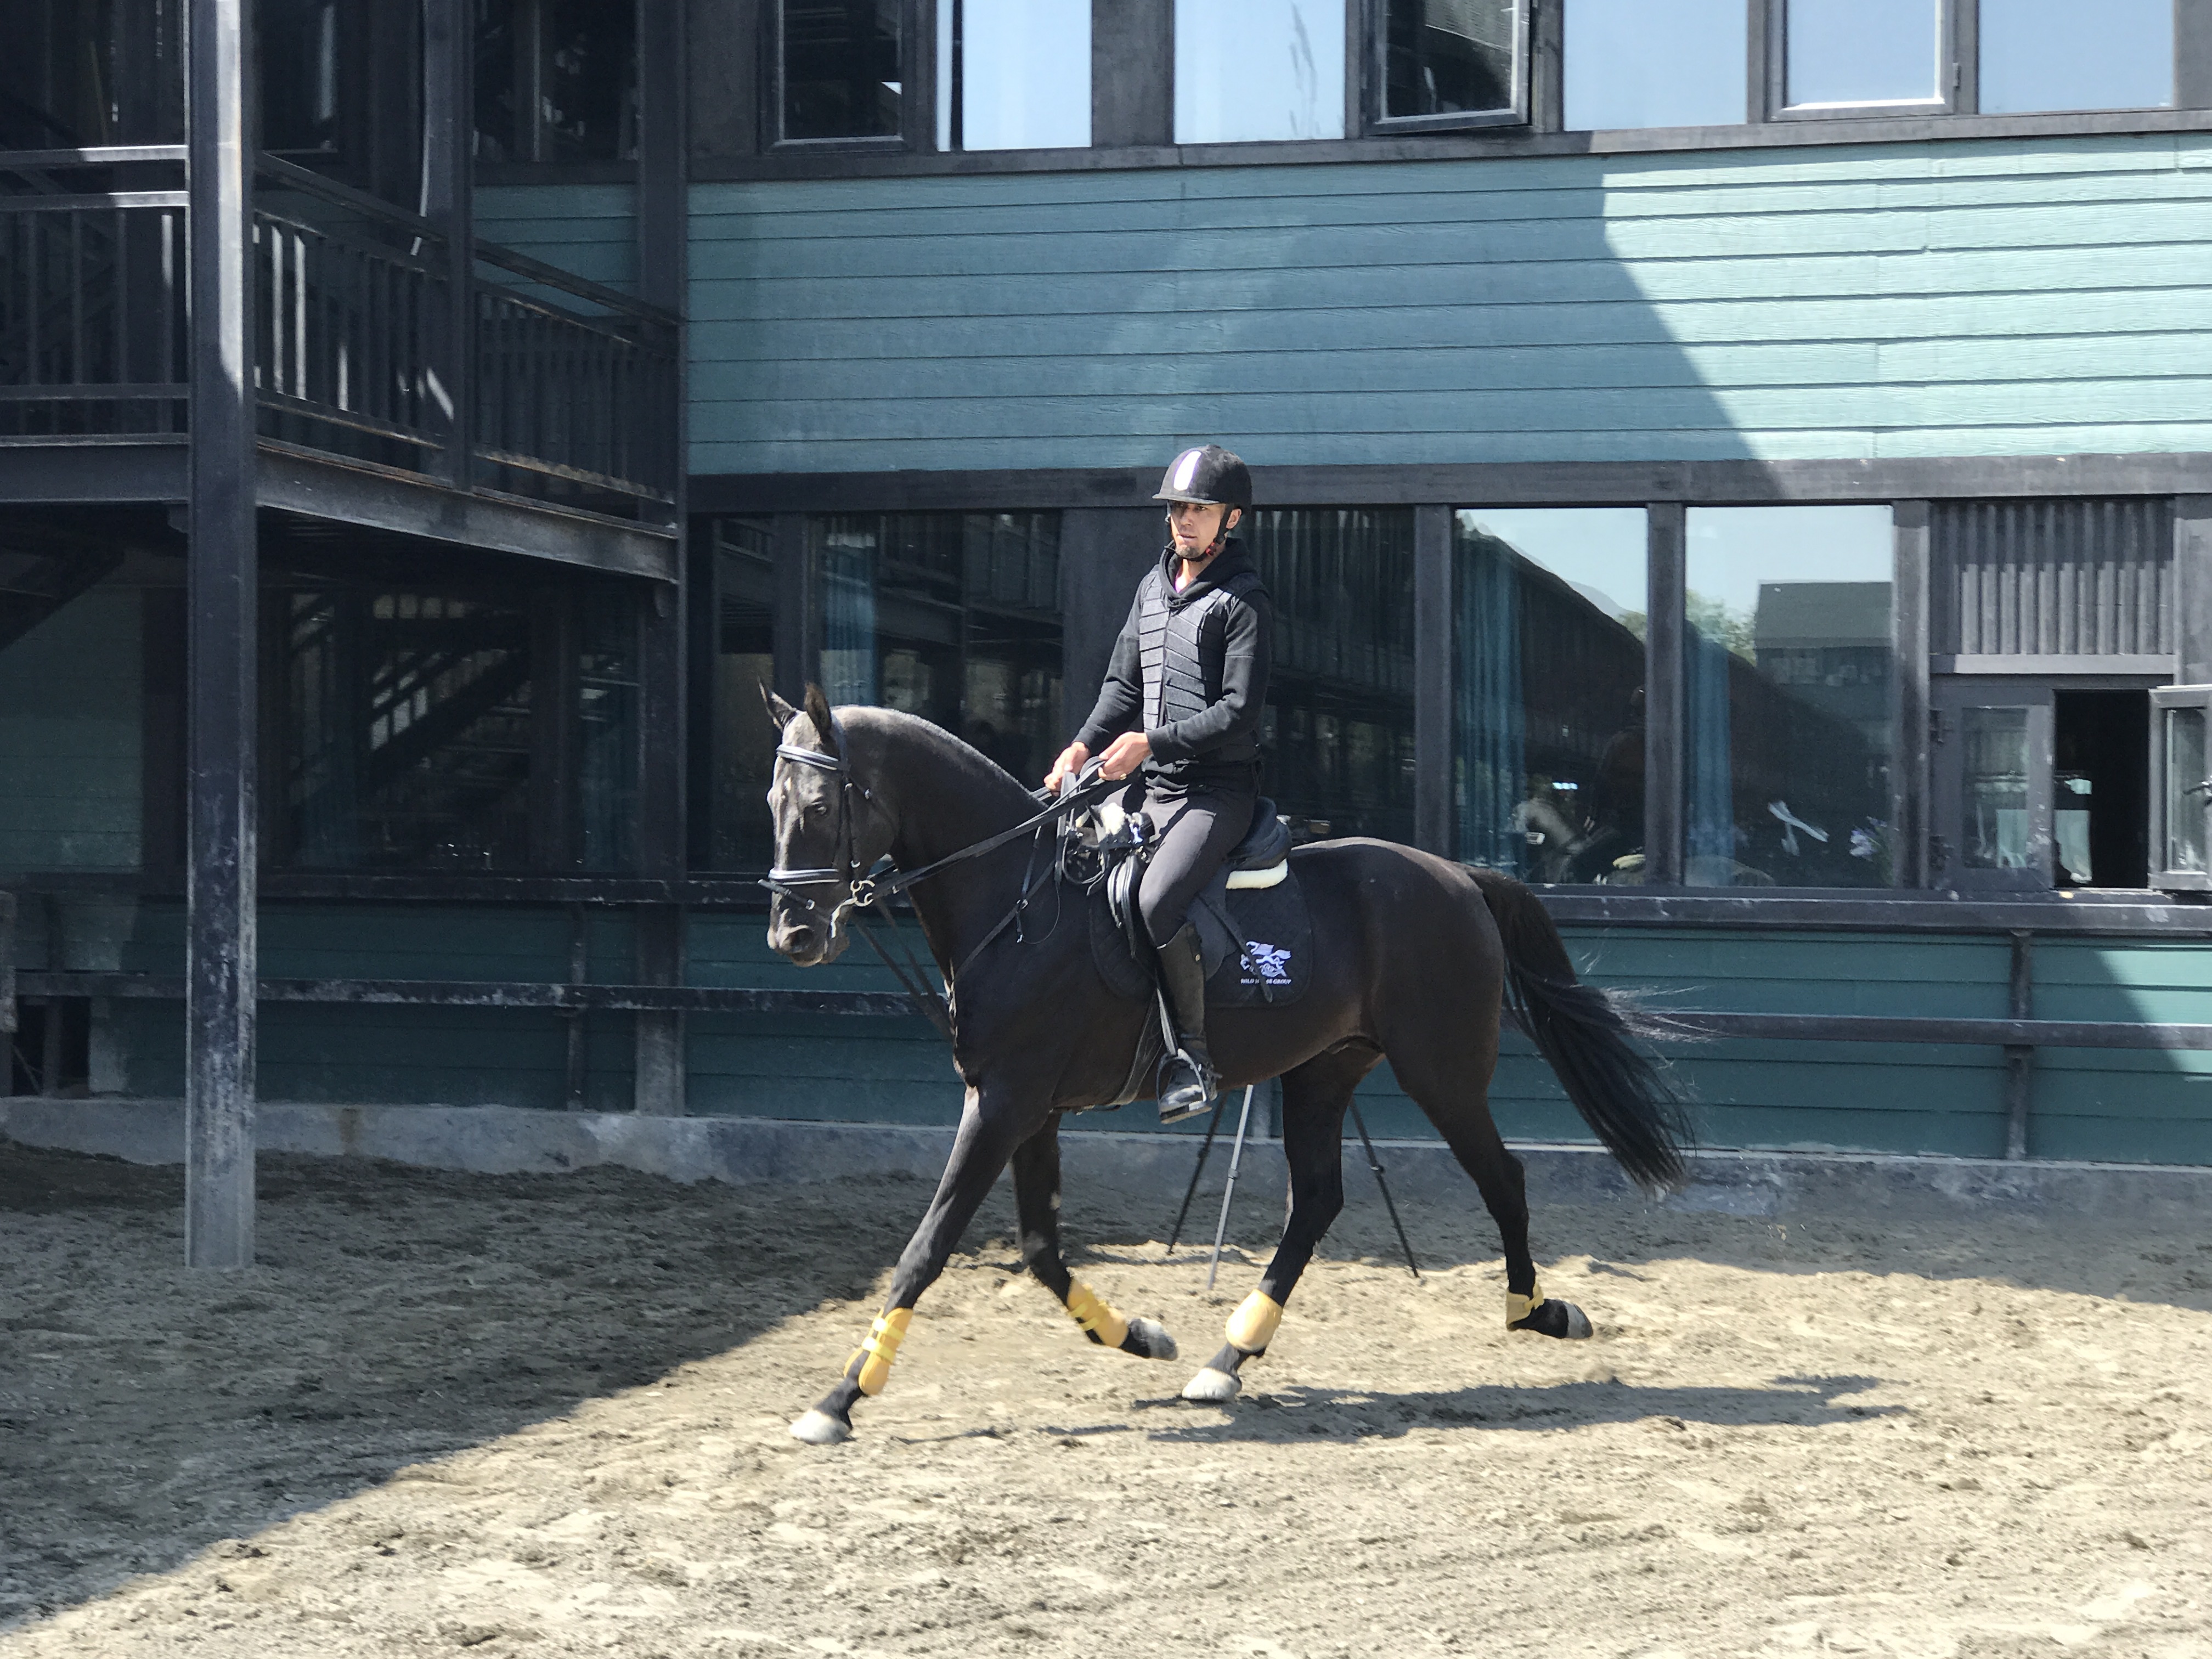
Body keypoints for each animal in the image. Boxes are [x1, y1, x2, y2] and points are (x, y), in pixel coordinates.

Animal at [762, 686, 1689, 1445]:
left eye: (821, 802)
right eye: (773, 800)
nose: (793, 936)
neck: (1018, 902)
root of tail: (1457, 875)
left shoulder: (1004, 1102)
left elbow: (929, 1246)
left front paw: (840, 1398)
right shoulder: (1029, 1106)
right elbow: (1039, 1249)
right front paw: (1137, 1338)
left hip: (1442, 1070)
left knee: (1502, 1177)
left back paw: (1539, 1311)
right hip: (1324, 1070)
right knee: (1316, 1202)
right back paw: (1227, 1359)